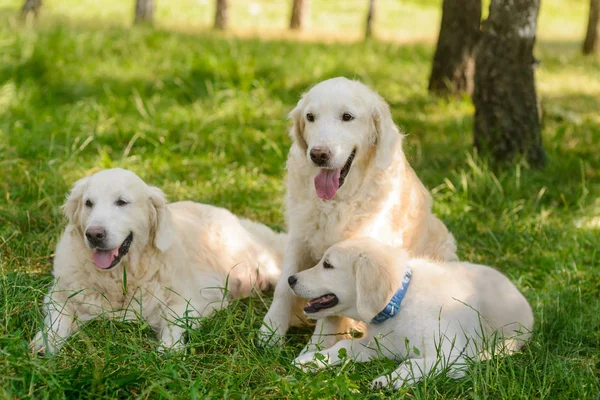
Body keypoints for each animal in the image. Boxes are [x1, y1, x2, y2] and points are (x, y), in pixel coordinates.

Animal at [31, 168, 286, 354]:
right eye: (88, 203)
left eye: (121, 202)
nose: (94, 234)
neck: (121, 278)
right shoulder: (58, 295)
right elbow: (57, 318)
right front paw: (45, 342)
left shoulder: (184, 300)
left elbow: (173, 321)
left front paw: (169, 349)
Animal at [260, 77, 458, 350]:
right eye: (310, 117)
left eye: (347, 117)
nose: (318, 154)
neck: (335, 202)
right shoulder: (299, 236)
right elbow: (283, 286)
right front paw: (271, 330)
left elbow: (332, 306)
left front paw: (318, 348)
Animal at [290, 239, 536, 390]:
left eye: (327, 265)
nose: (291, 279)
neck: (400, 303)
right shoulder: (377, 345)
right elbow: (343, 346)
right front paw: (310, 359)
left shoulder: (451, 355)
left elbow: (412, 364)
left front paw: (388, 380)